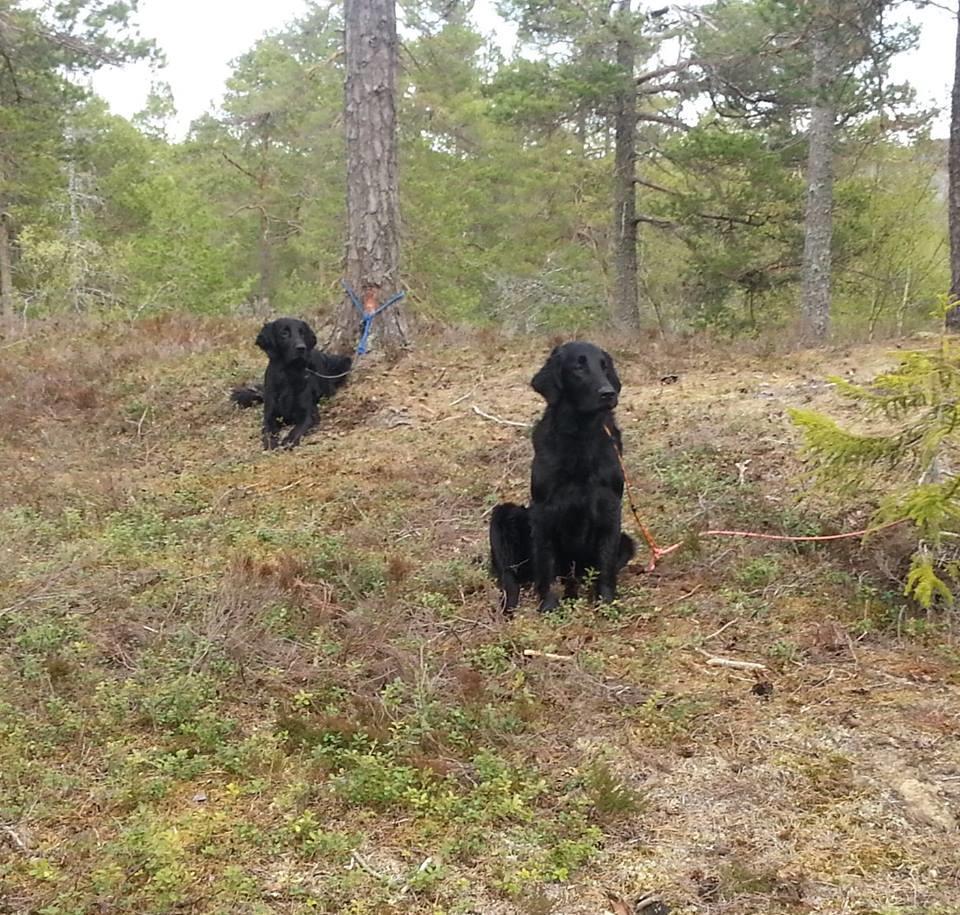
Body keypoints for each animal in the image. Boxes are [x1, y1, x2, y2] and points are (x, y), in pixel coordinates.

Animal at [230, 320, 352, 452]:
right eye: (284, 333)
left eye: (302, 333)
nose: (301, 348)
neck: (287, 374)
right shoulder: (269, 416)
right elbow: (268, 431)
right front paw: (271, 443)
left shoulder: (309, 414)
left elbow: (296, 430)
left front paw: (288, 442)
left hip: (343, 363)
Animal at [488, 344, 636, 616]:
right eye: (578, 367)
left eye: (604, 366)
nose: (608, 393)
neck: (580, 434)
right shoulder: (543, 511)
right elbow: (546, 564)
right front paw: (548, 604)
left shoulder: (610, 506)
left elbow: (606, 564)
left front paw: (606, 602)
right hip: (502, 515)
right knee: (509, 577)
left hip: (627, 542)